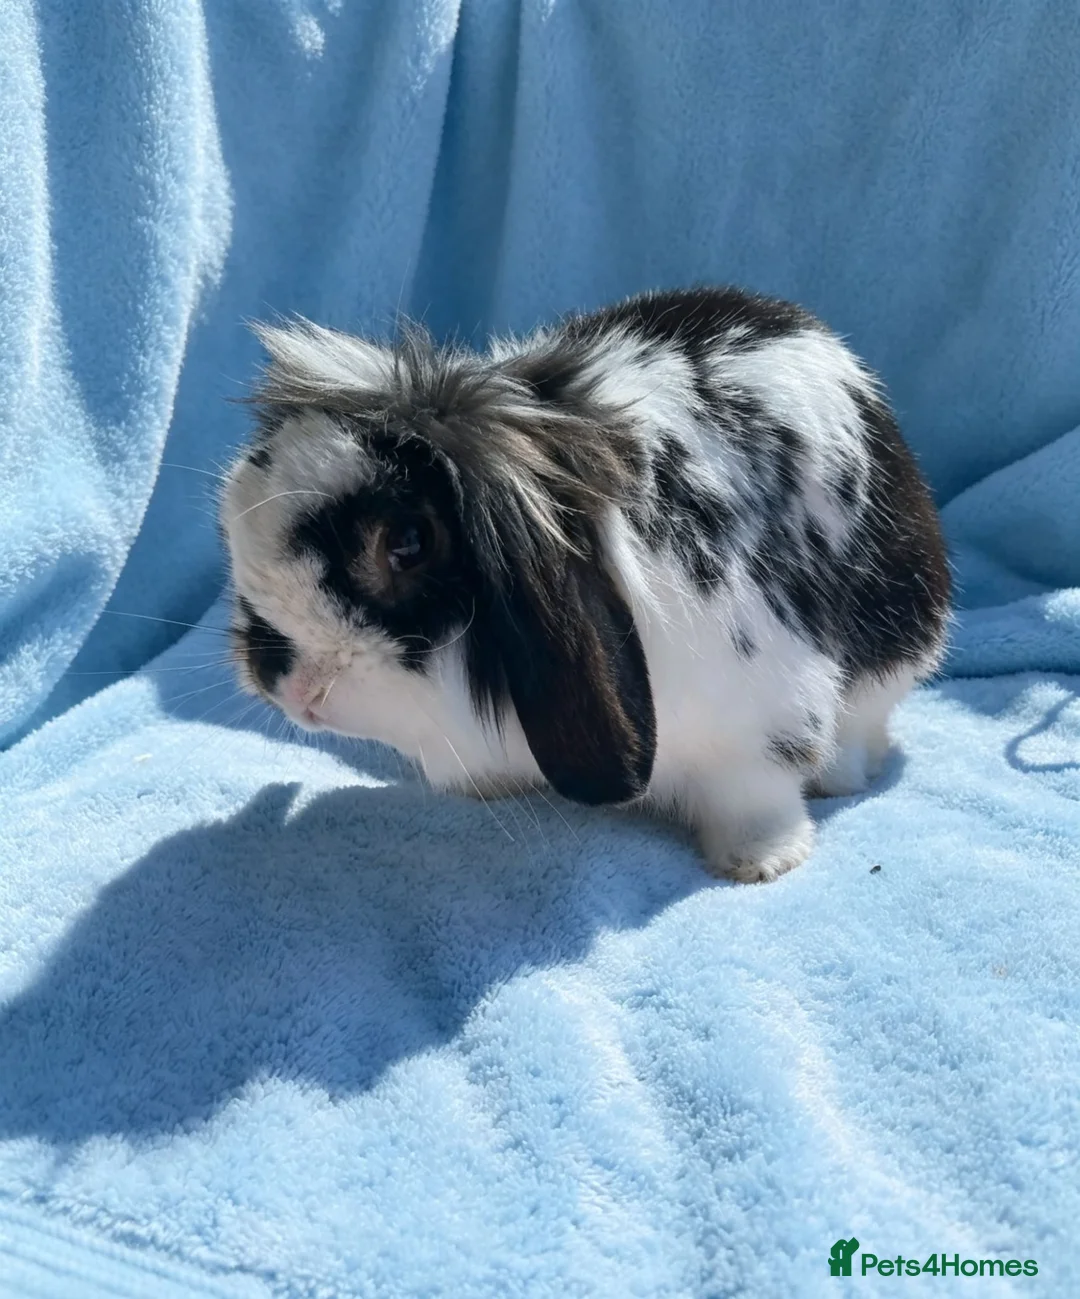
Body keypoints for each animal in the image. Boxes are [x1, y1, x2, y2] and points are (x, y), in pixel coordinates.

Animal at [221, 286, 951, 882]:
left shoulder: (762, 721)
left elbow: (754, 798)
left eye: (407, 542)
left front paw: (761, 862)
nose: (285, 683)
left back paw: (839, 779)